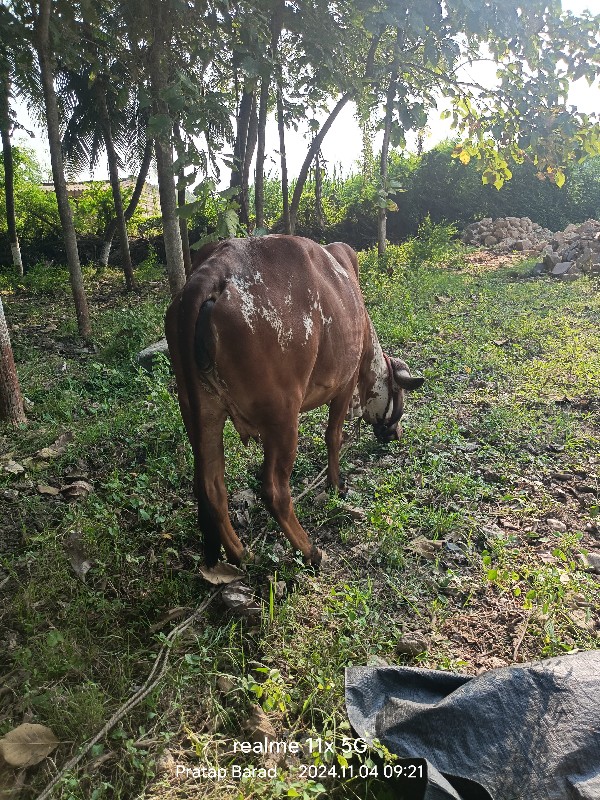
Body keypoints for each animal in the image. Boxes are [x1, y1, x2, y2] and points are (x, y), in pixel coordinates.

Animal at [166, 234, 424, 564]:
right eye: (399, 396)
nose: (396, 434)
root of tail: (214, 271)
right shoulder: (345, 383)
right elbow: (333, 436)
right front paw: (336, 484)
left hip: (200, 411)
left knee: (211, 487)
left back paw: (240, 554)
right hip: (282, 416)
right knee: (275, 490)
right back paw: (310, 551)